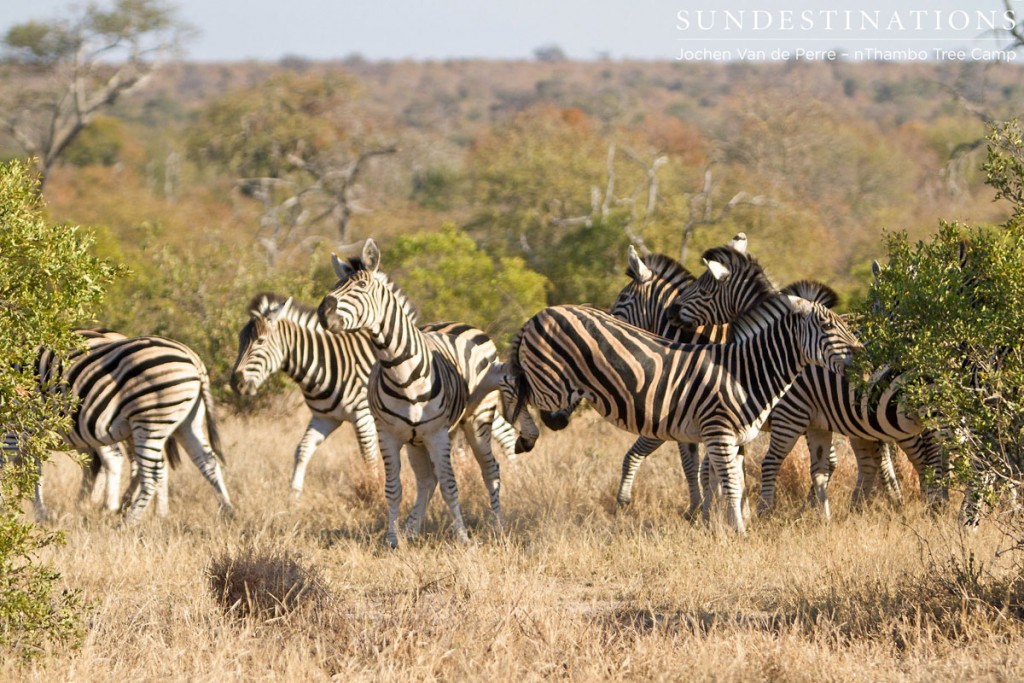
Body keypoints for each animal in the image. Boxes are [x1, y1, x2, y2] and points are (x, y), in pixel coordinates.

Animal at [230, 292, 520, 497]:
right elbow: (302, 449)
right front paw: (294, 493)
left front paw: (372, 490)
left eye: (260, 342)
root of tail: (476, 328)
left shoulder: (362, 415)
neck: (325, 362)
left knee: (506, 435)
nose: (236, 382)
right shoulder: (325, 418)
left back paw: (514, 478)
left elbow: (368, 457)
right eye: (240, 341)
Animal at [313, 237, 536, 548]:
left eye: (362, 286)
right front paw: (393, 539)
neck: (400, 370)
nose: (323, 312)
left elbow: (451, 486)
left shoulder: (436, 434)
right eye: (335, 286)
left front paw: (463, 539)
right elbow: (394, 488)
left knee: (490, 469)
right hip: (417, 440)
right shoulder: (389, 435)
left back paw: (498, 527)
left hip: (476, 421)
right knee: (427, 480)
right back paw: (411, 529)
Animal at [499, 296, 860, 536]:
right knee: (508, 381)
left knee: (511, 379)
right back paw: (525, 434)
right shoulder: (719, 432)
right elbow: (731, 485)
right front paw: (739, 532)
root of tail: (541, 313)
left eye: (842, 325)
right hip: (553, 386)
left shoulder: (735, 438)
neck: (744, 372)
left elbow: (733, 483)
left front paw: (725, 525)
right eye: (828, 326)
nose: (860, 353)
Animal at [675, 242, 946, 516]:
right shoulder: (815, 419)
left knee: (924, 456)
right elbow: (824, 465)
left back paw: (928, 504)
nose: (673, 311)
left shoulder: (793, 414)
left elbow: (773, 463)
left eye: (704, 288)